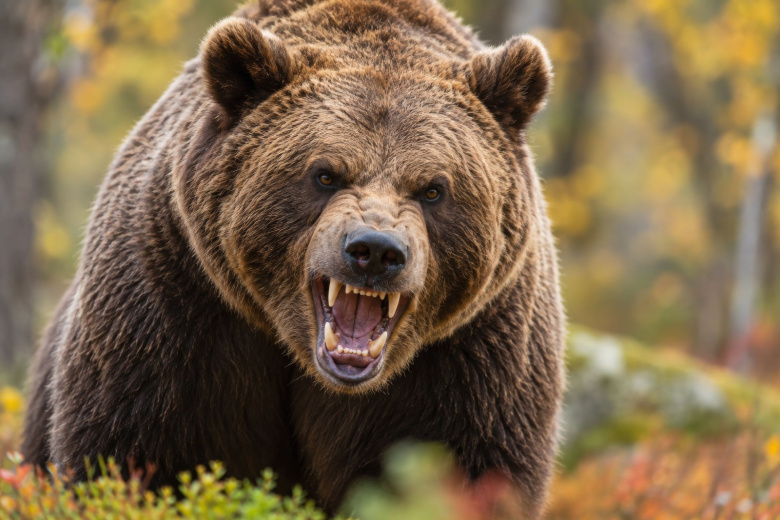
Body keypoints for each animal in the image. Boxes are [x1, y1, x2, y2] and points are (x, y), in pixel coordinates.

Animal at [22, 0, 565, 517]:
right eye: (325, 174)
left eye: (433, 188)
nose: (375, 251)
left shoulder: (474, 355)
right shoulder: (174, 308)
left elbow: (467, 467)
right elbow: (139, 454)